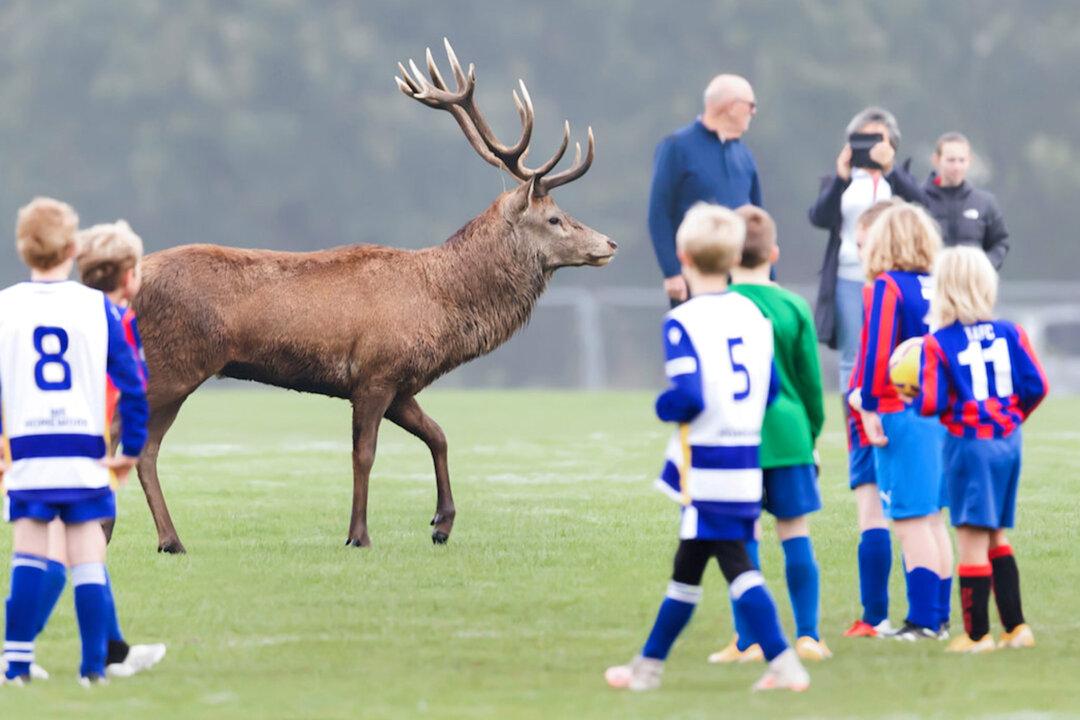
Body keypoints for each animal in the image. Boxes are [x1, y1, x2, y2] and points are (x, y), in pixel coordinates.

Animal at [125, 39, 616, 553]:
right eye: (555, 218)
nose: (610, 244)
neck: (441, 304)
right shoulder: (375, 373)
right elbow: (365, 454)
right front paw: (359, 534)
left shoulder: (403, 383)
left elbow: (439, 435)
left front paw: (441, 524)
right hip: (173, 363)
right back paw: (147, 536)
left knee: (144, 449)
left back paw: (164, 538)